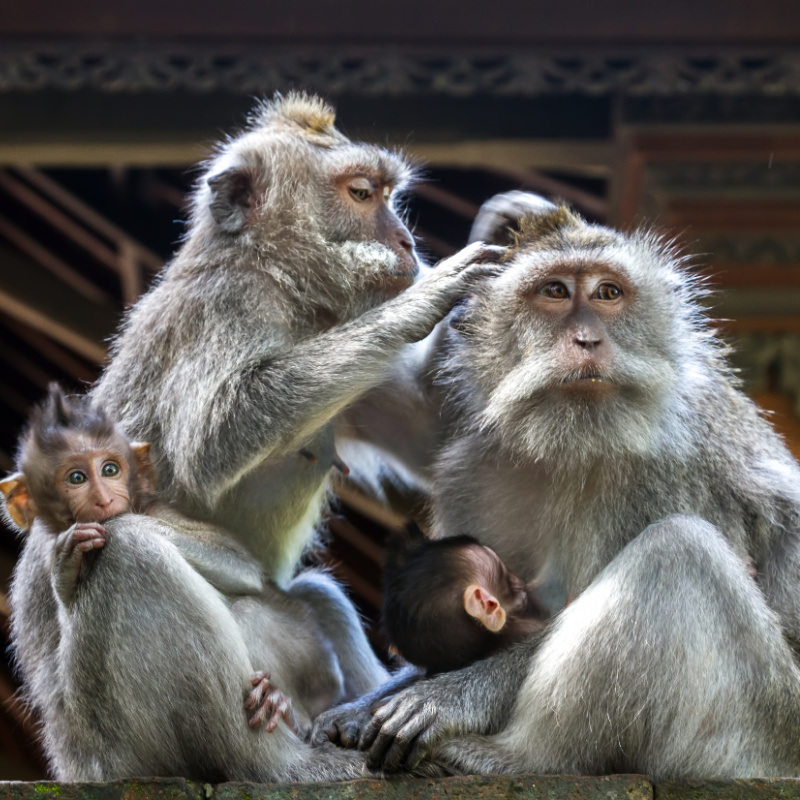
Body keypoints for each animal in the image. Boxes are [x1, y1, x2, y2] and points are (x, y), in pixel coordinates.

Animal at [4, 384, 377, 780]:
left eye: (110, 469)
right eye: (76, 478)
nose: (103, 499)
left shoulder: (157, 510)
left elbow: (238, 564)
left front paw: (98, 537)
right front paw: (65, 567)